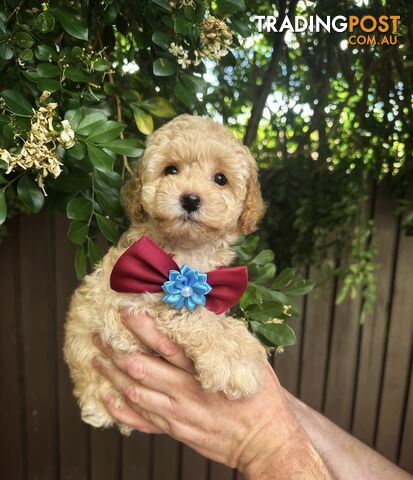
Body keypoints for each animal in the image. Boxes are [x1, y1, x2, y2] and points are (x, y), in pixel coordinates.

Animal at [62, 114, 266, 434]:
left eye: (220, 179)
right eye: (171, 170)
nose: (191, 199)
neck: (186, 251)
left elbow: (216, 317)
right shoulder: (124, 308)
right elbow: (193, 315)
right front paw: (235, 361)